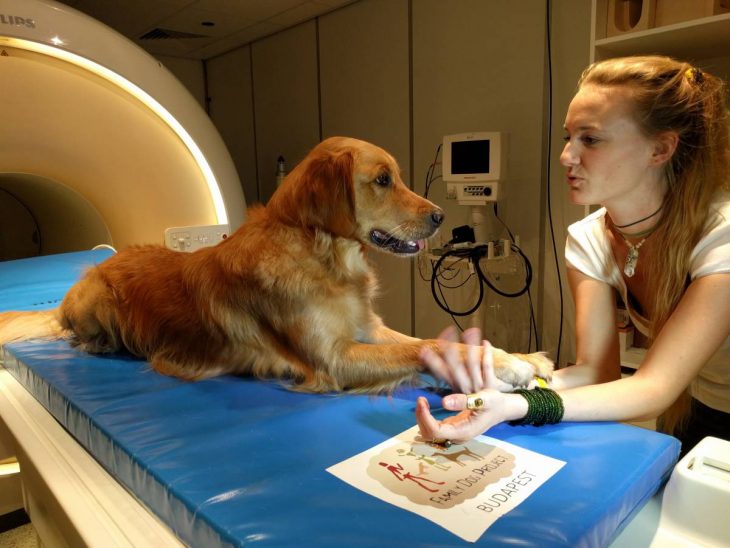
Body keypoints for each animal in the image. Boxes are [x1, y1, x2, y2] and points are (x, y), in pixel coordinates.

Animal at [0, 138, 548, 394]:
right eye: (383, 179)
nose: (439, 217)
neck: (324, 256)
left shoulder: (367, 331)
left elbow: (427, 340)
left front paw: (517, 358)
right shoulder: (333, 359)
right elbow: (428, 347)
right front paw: (506, 365)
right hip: (98, 302)